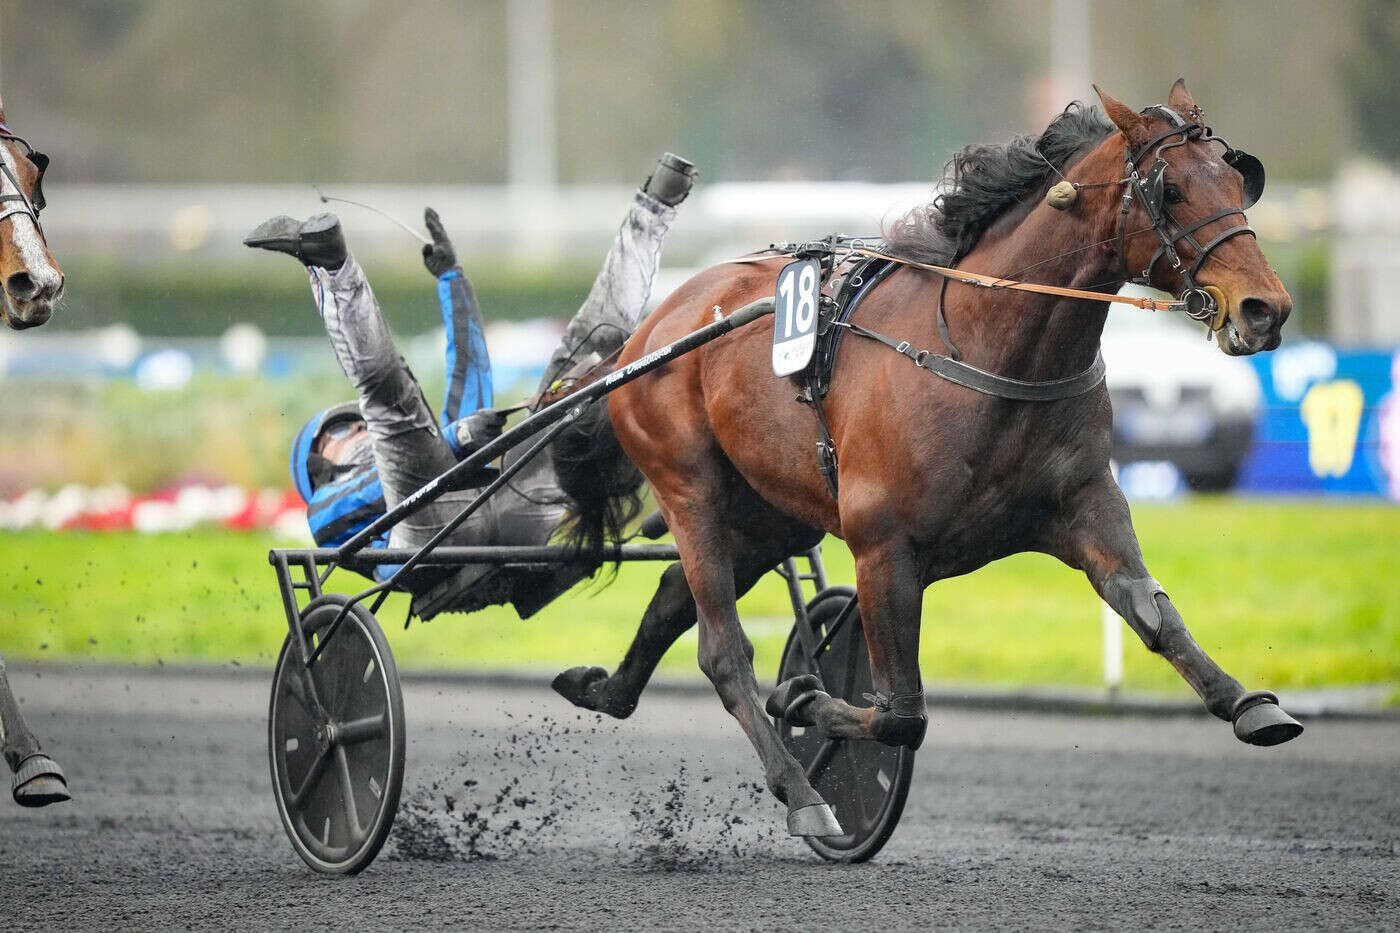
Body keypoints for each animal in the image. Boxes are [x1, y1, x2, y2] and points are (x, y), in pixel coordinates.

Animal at [551, 83, 1293, 829]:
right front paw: (805, 699)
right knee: (723, 650)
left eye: (1239, 180)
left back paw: (603, 688)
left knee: (674, 597)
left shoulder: (1085, 506)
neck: (983, 349)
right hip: (690, 485)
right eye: (1171, 190)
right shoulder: (885, 545)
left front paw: (1248, 703)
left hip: (769, 513)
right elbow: (902, 712)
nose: (1266, 308)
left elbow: (1149, 608)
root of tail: (651, 328)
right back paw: (803, 793)